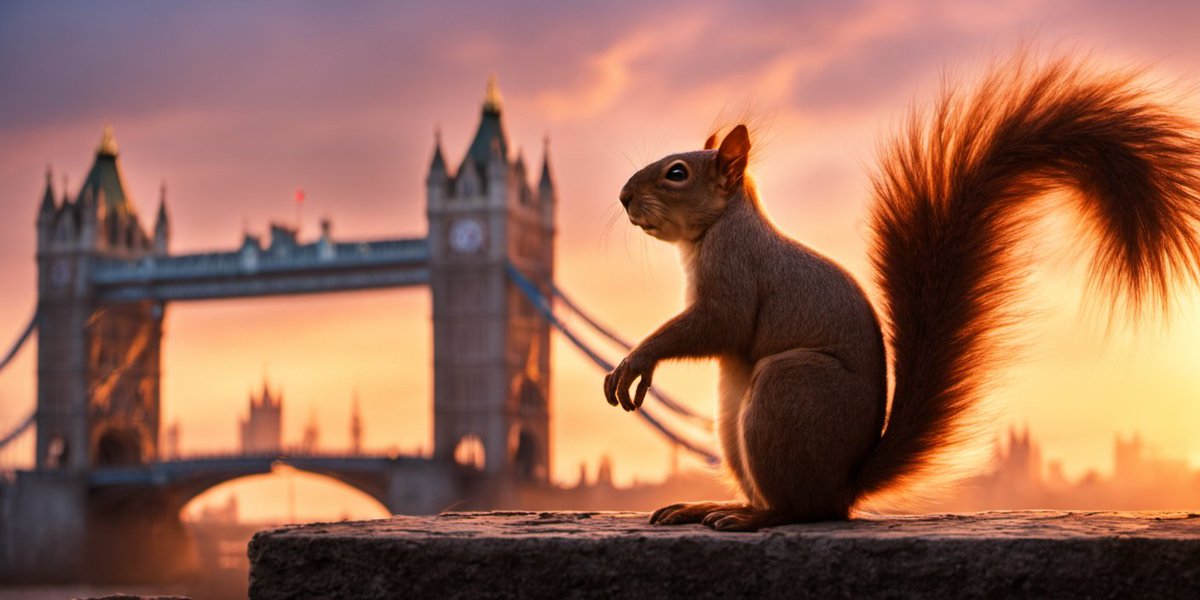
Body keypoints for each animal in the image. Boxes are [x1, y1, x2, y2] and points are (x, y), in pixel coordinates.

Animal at [603, 56, 1200, 531]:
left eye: (676, 173)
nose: (624, 195)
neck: (719, 225)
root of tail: (846, 483)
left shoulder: (735, 272)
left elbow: (717, 324)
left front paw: (635, 362)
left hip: (788, 386)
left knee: (803, 509)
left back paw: (752, 516)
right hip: (734, 416)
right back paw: (708, 506)